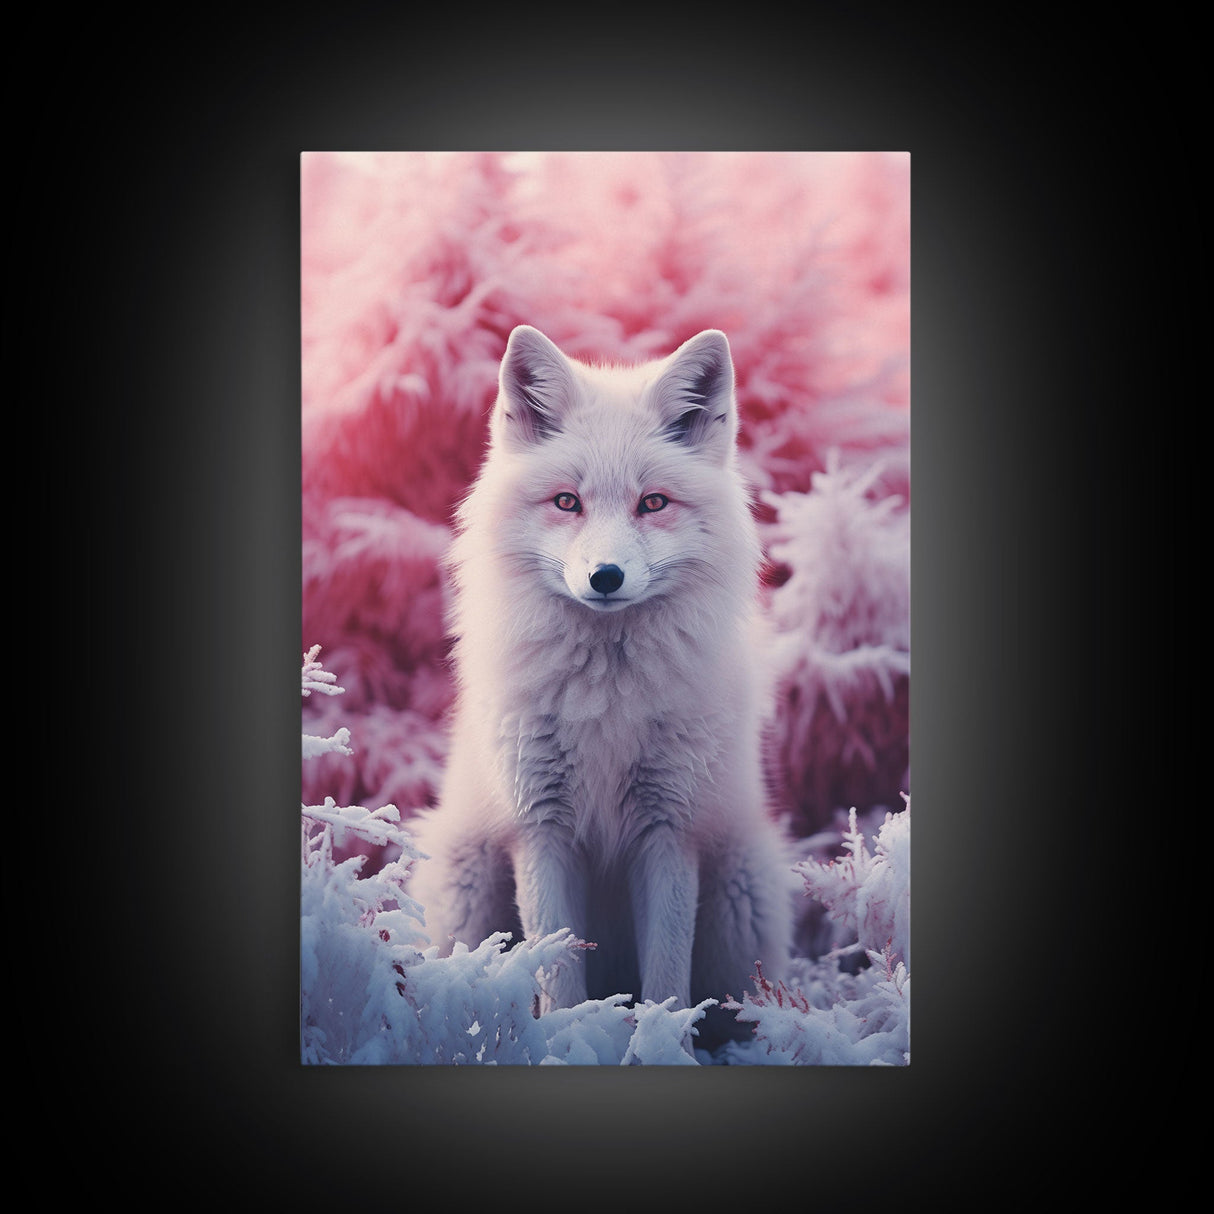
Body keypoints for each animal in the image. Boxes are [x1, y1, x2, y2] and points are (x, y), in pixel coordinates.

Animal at [408, 324, 794, 1048]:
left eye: (653, 503)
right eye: (568, 502)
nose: (606, 577)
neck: (605, 704)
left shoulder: (669, 831)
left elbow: (667, 989)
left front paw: (663, 1052)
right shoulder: (542, 829)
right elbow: (557, 975)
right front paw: (567, 1047)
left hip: (738, 902)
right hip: (468, 894)